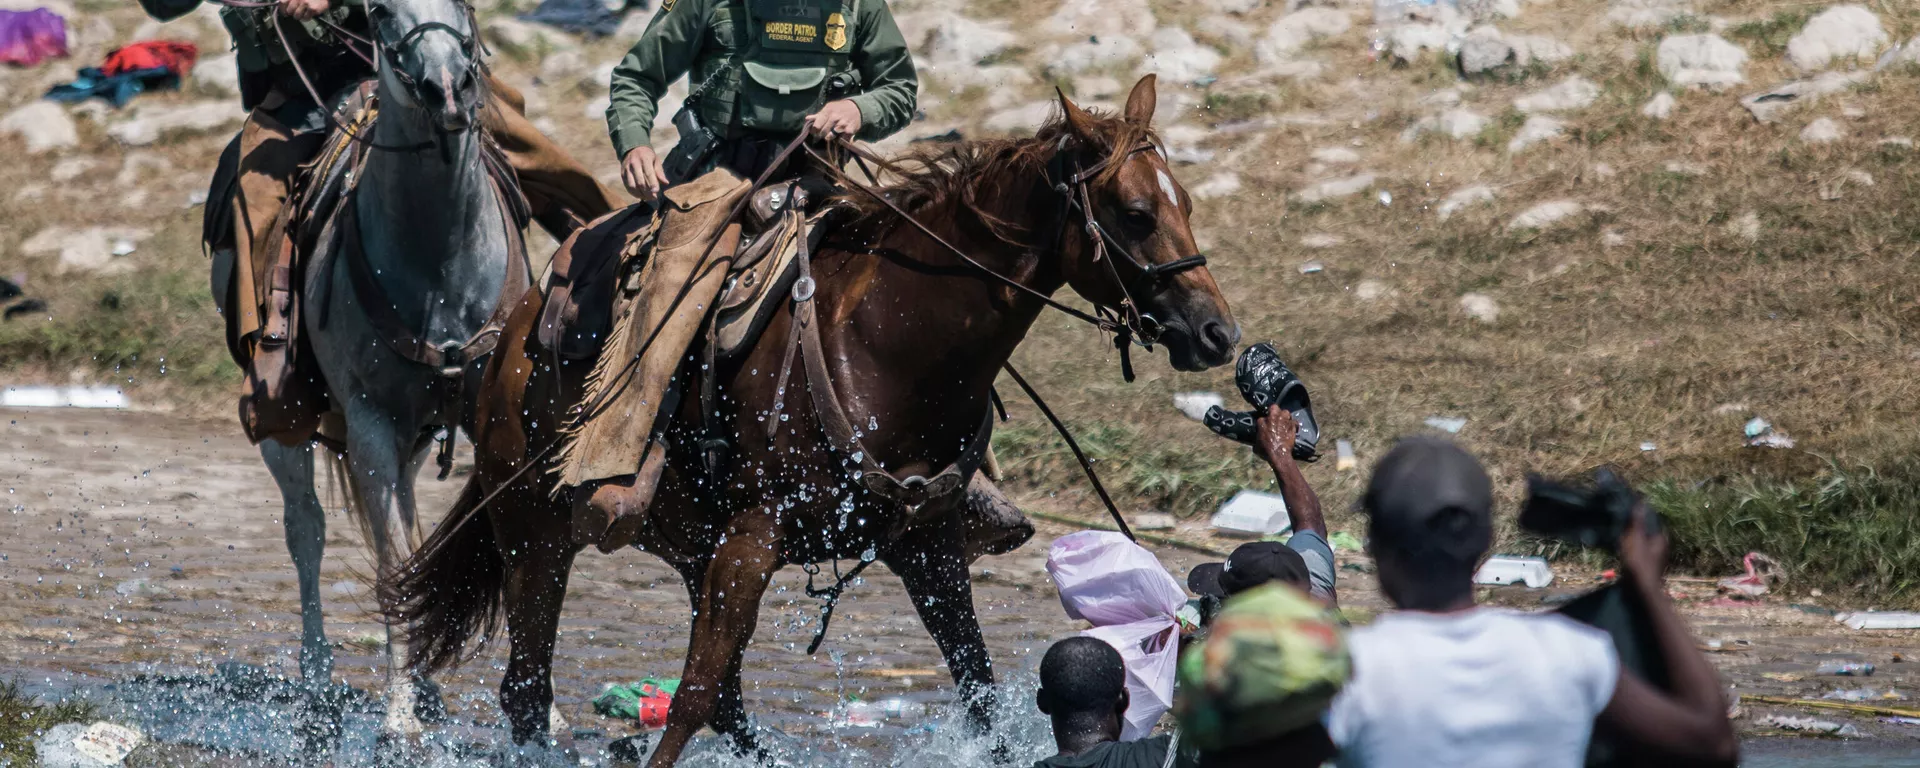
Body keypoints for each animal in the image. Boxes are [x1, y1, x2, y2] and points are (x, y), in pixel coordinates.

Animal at [249, 0, 523, 741]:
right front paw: (399, 715)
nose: (447, 89)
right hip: (290, 426)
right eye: (377, 13)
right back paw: (321, 684)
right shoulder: (370, 424)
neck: (440, 264)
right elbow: (392, 565)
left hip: (413, 441)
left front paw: (542, 709)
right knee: (306, 532)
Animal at [388, 74, 1239, 764]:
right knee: (530, 689)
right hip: (536, 532)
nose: (1216, 333)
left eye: (1188, 205)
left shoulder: (927, 546)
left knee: (723, 705)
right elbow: (690, 697)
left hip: (686, 546)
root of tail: (512, 334)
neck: (888, 344)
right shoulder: (753, 540)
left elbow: (978, 690)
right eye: (1135, 213)